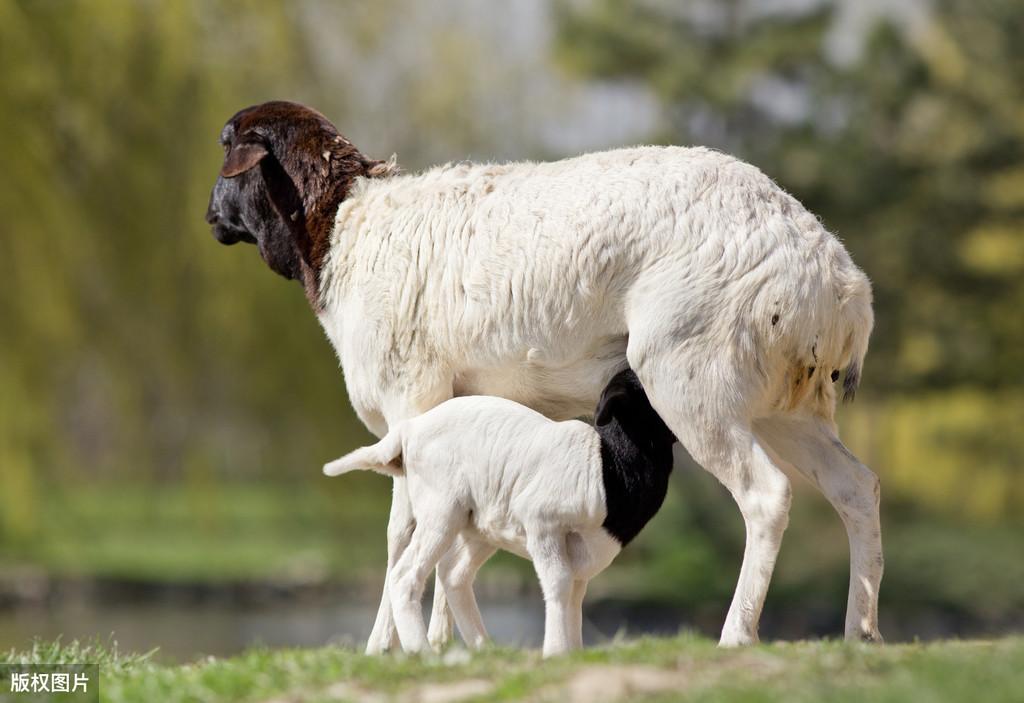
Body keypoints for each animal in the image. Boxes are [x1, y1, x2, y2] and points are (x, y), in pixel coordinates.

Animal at [323, 370, 675, 658]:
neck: (606, 464)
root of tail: (408, 430)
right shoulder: (542, 525)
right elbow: (558, 583)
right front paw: (555, 653)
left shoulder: (581, 553)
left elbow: (576, 596)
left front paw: (572, 654)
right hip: (441, 512)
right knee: (405, 576)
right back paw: (422, 652)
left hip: (481, 525)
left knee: (453, 574)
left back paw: (483, 648)